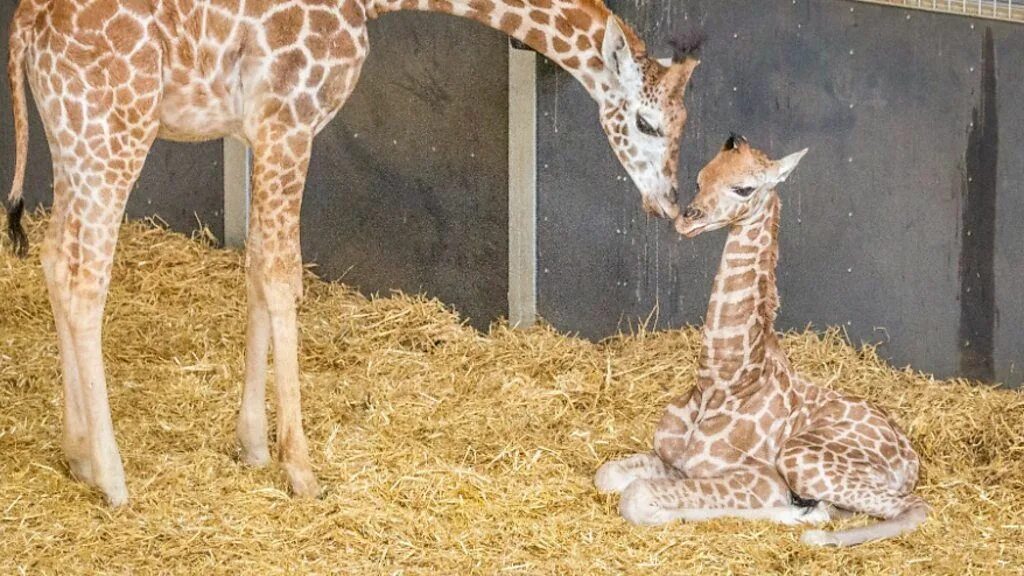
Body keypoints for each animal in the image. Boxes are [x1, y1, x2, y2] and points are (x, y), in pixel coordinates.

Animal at [4, 0, 700, 502]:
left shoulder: (260, 132)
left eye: (684, 125)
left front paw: (254, 446)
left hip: (72, 141)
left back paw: (76, 453)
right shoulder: (289, 122)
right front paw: (302, 472)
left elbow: (257, 270)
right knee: (84, 278)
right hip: (113, 133)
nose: (671, 204)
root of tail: (27, 24)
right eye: (646, 122)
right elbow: (282, 277)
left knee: (53, 258)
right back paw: (112, 477)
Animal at [593, 135, 929, 545]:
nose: (687, 219)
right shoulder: (672, 460)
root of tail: (910, 459)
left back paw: (817, 535)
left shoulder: (760, 478)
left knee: (915, 506)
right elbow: (607, 475)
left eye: (744, 188)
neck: (720, 383)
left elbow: (636, 496)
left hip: (800, 458)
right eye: (700, 177)